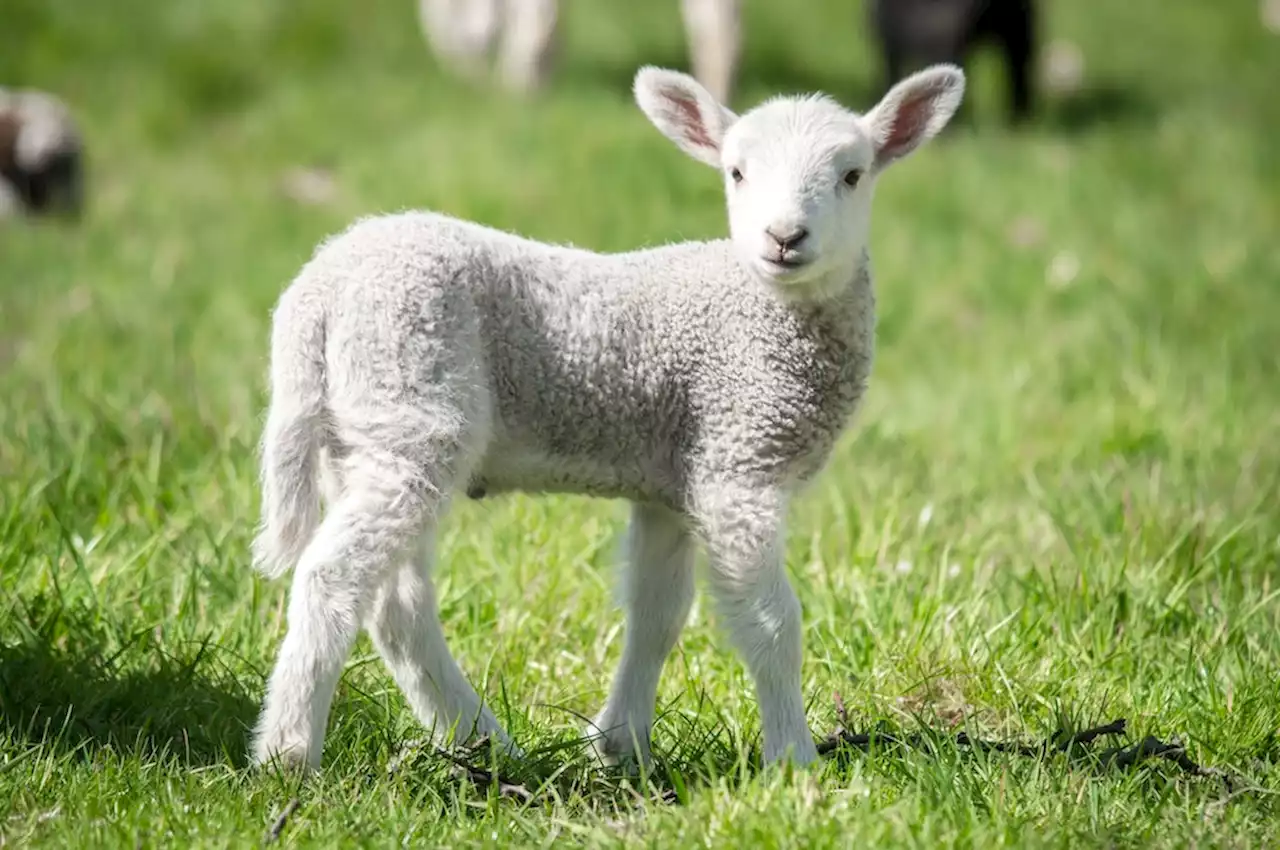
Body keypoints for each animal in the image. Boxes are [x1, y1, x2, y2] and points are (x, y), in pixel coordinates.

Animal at [249, 63, 962, 773]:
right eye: (735, 172)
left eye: (853, 175)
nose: (785, 238)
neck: (754, 309)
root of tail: (314, 291)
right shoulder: (737, 464)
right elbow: (772, 624)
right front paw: (794, 760)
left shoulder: (674, 480)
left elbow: (658, 616)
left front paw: (621, 746)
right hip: (410, 398)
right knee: (333, 574)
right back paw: (289, 754)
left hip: (362, 433)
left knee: (397, 604)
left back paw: (483, 742)